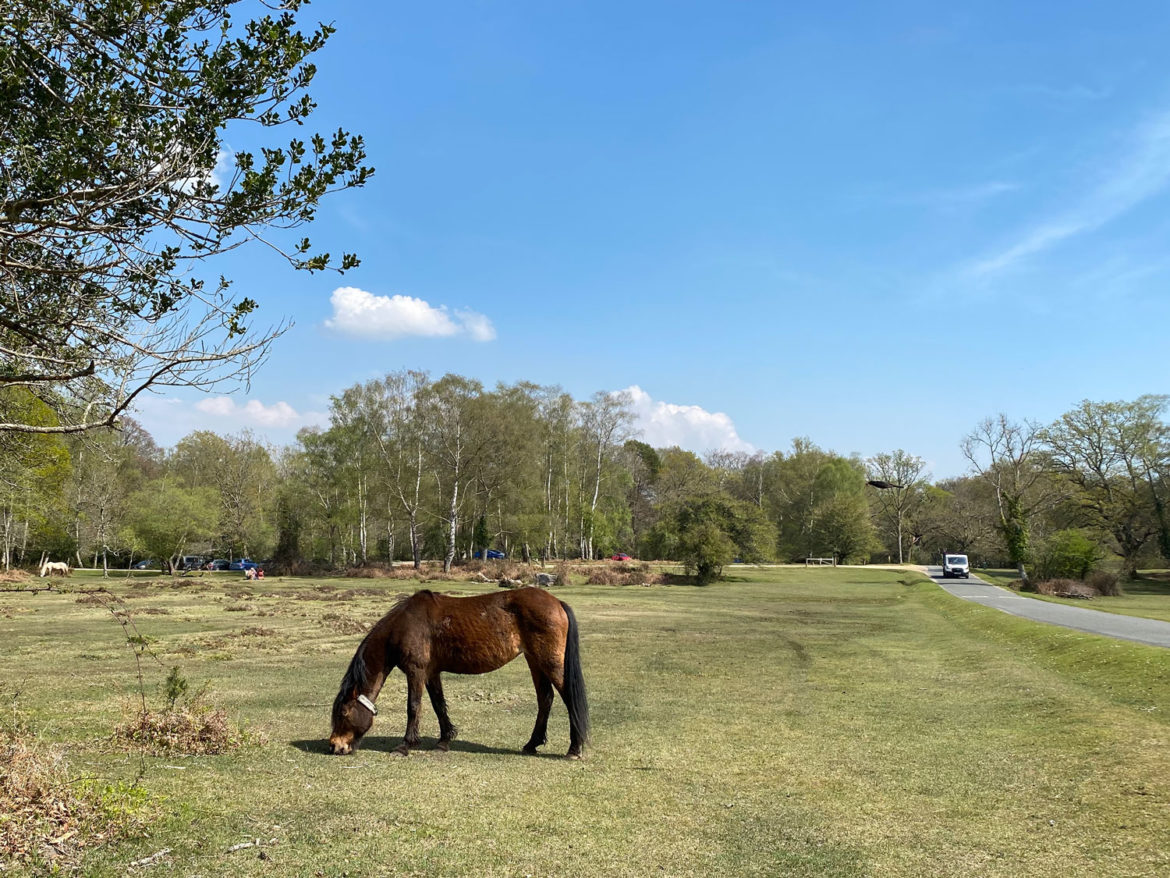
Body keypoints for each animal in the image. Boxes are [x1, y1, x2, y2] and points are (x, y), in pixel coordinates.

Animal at [329, 587, 589, 758]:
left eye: (343, 713)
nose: (334, 746)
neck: (404, 625)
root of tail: (557, 602)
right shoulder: (431, 673)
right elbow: (438, 705)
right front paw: (444, 740)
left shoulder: (416, 671)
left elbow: (413, 706)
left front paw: (405, 745)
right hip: (534, 660)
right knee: (545, 699)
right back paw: (531, 744)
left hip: (550, 662)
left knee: (568, 698)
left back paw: (574, 749)